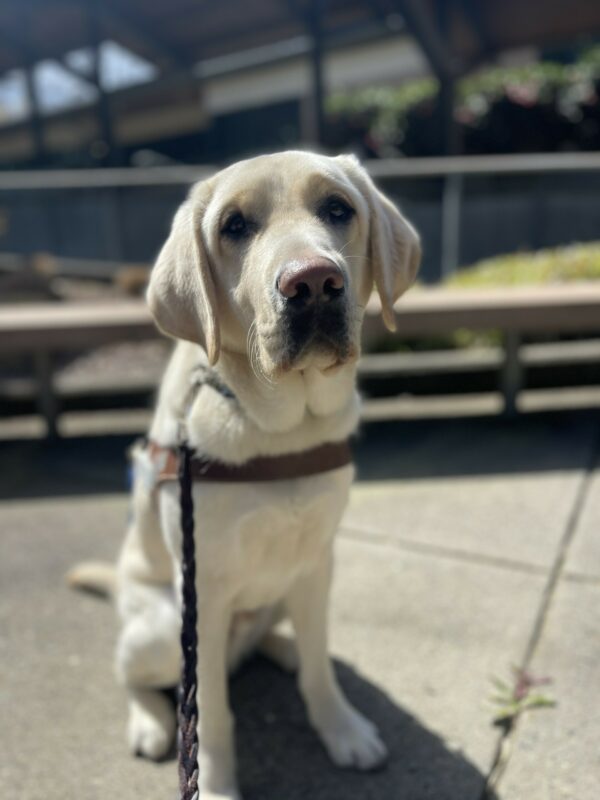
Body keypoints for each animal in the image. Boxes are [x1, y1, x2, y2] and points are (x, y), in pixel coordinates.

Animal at [86, 152, 420, 800]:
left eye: (338, 208)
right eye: (234, 226)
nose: (312, 282)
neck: (281, 428)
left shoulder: (317, 560)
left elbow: (319, 666)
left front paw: (341, 728)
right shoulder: (205, 595)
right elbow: (211, 713)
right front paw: (215, 785)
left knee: (283, 636)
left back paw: (283, 648)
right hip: (163, 627)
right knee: (129, 672)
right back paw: (149, 722)